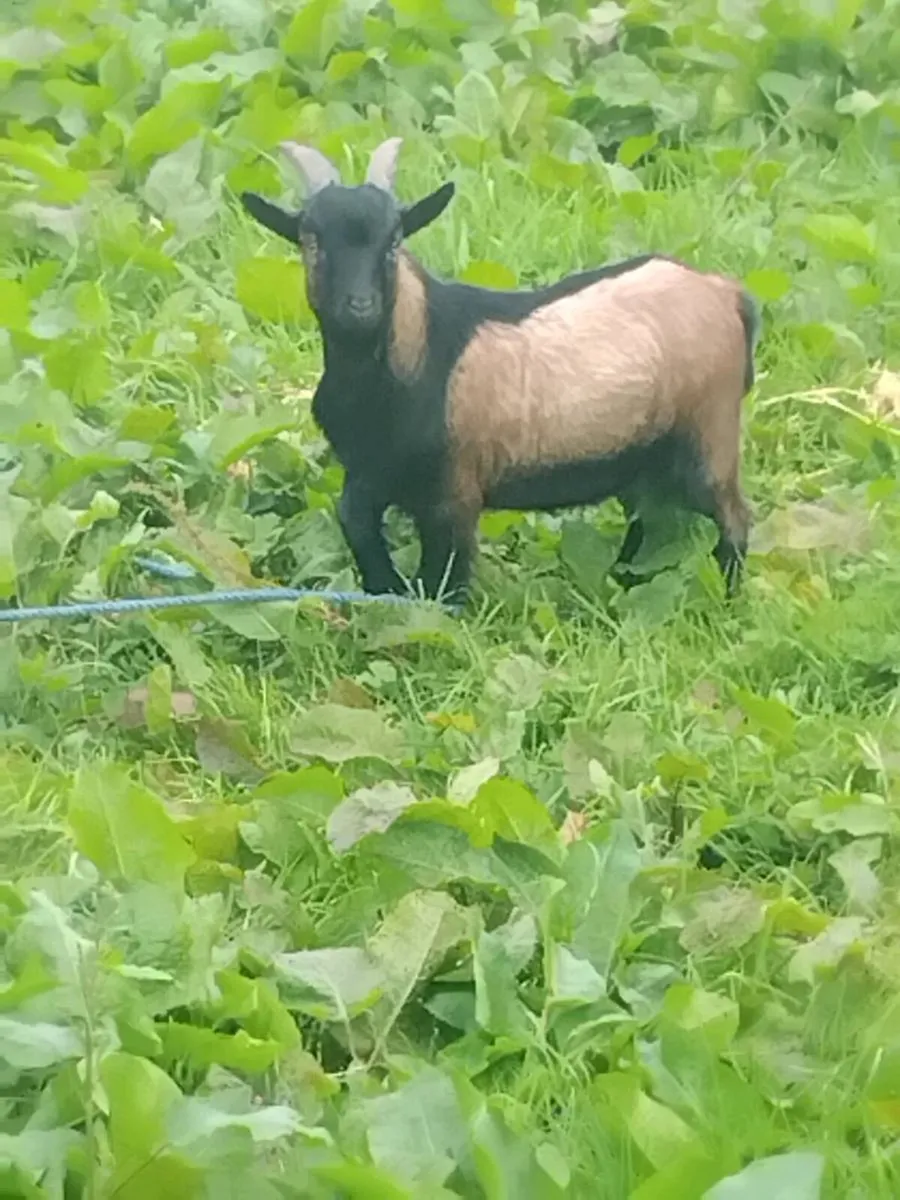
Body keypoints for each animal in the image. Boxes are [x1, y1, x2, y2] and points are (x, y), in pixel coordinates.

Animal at [240, 138, 760, 605]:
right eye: (311, 241)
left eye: (393, 242)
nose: (360, 307)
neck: (417, 355)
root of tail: (727, 294)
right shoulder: (370, 471)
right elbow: (356, 523)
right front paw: (384, 591)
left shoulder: (454, 491)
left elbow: (443, 583)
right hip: (644, 458)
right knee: (648, 520)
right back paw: (623, 583)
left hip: (708, 433)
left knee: (734, 517)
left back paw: (725, 600)